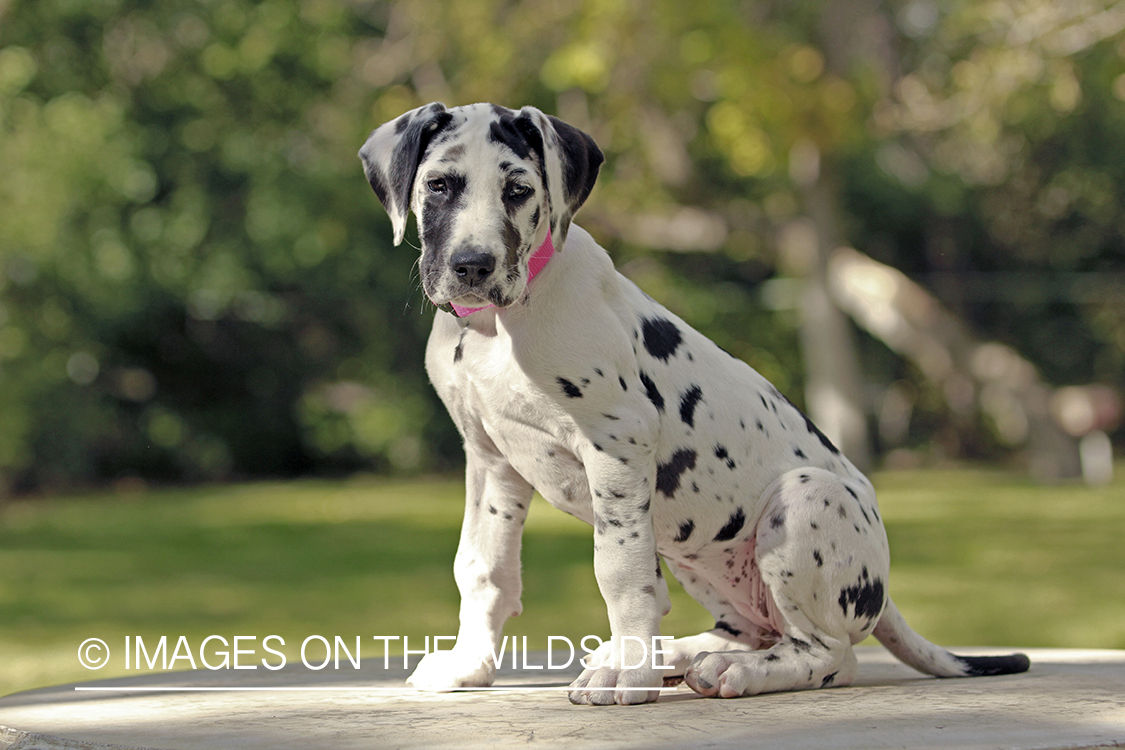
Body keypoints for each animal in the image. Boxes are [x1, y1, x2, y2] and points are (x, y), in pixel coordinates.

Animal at [357, 102, 1030, 706]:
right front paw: (469, 666)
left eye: (518, 190)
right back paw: (682, 655)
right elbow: (483, 568)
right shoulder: (492, 461)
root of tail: (884, 590)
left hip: (803, 498)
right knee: (753, 629)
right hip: (696, 552)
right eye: (439, 185)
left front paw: (628, 677)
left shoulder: (617, 445)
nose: (473, 266)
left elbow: (619, 572)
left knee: (829, 655)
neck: (495, 329)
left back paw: (730, 671)